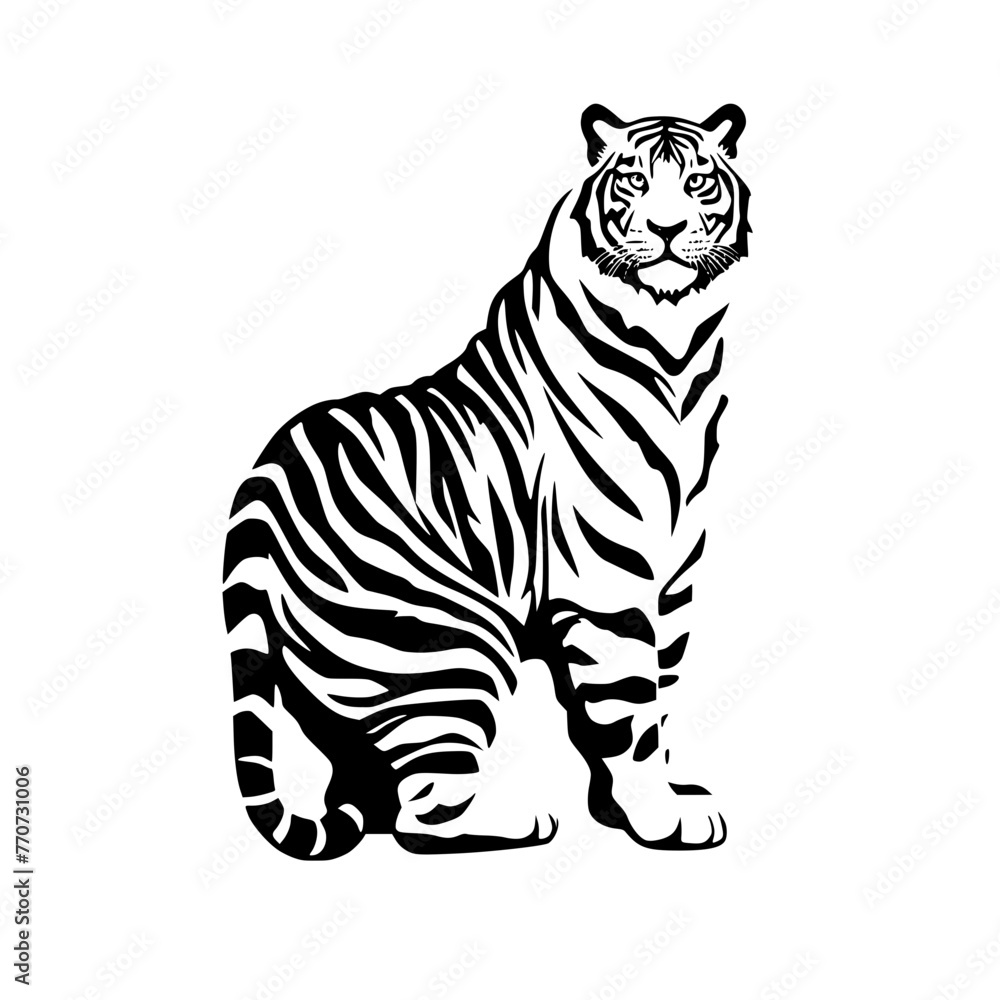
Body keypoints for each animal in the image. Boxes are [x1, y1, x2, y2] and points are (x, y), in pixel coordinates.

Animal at [223, 102, 751, 859]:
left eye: (699, 181)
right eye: (632, 181)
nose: (669, 228)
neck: (677, 345)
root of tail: (262, 481)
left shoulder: (671, 579)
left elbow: (660, 698)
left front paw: (641, 804)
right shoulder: (608, 578)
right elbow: (631, 708)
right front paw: (659, 817)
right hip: (447, 647)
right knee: (422, 814)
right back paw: (521, 818)